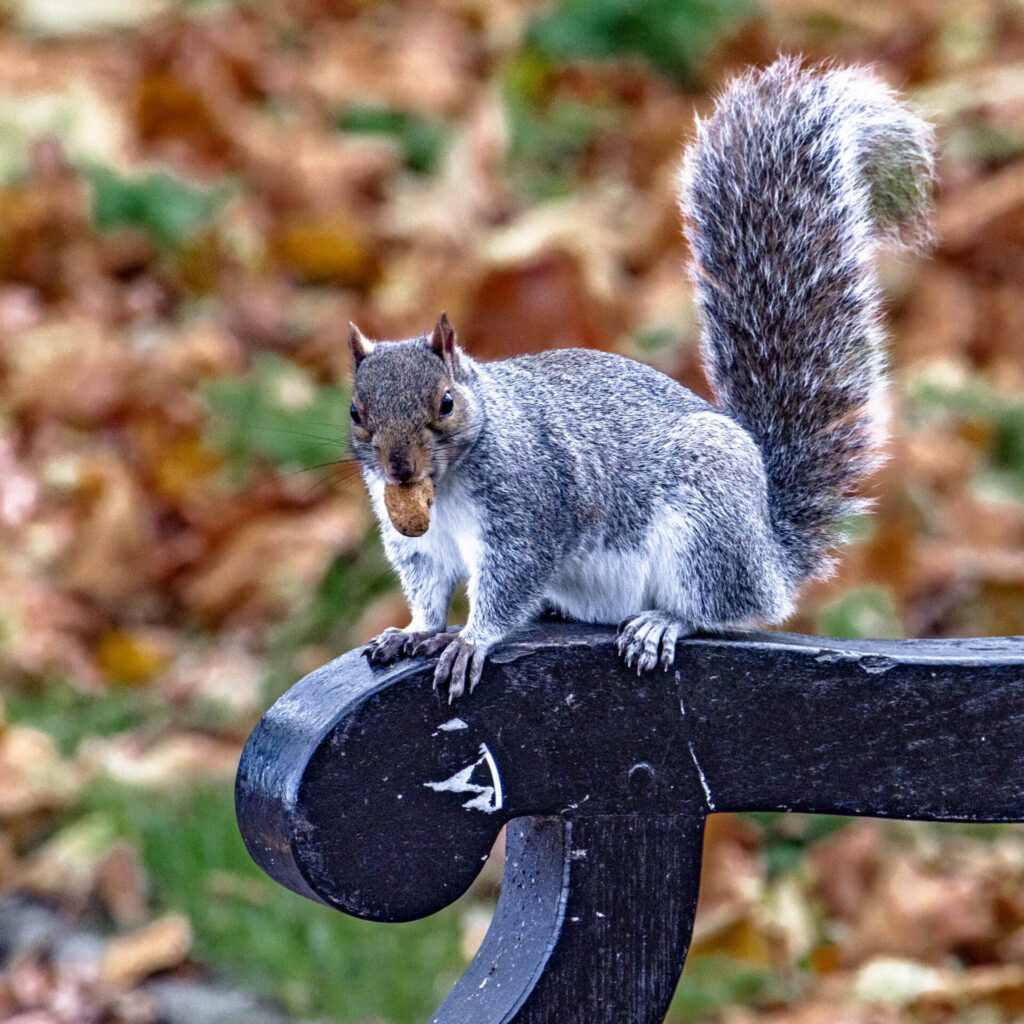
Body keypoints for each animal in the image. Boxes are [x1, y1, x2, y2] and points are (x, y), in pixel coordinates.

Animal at [348, 58, 935, 701]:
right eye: (356, 412)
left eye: (447, 402)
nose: (400, 468)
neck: (447, 486)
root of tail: (770, 556)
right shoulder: (419, 545)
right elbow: (428, 591)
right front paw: (414, 631)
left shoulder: (527, 512)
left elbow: (508, 583)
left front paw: (472, 640)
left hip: (703, 528)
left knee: (718, 607)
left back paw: (663, 622)